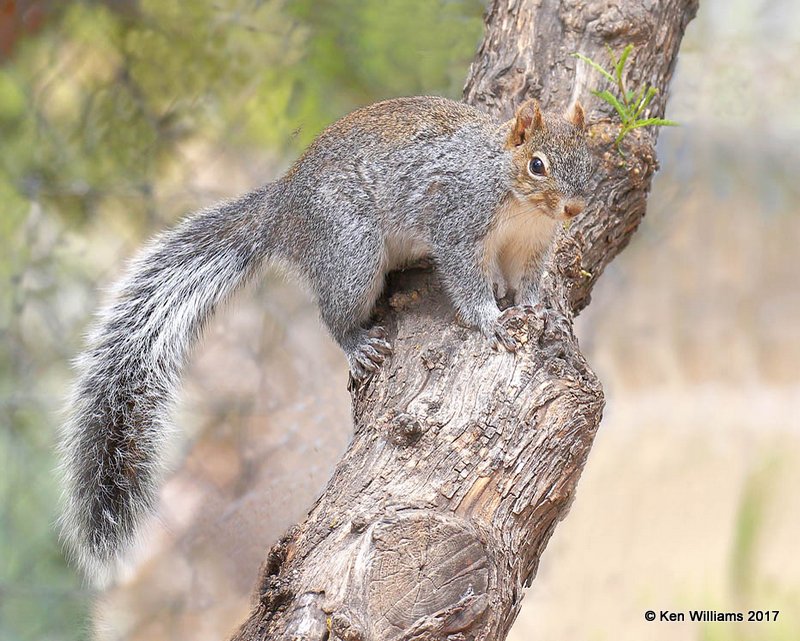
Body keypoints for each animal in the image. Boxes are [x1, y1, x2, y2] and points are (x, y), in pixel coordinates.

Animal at [57, 95, 592, 580]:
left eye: (591, 160)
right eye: (538, 165)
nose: (574, 207)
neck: (518, 202)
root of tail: (284, 206)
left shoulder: (530, 248)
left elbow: (528, 285)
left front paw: (538, 313)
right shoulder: (458, 222)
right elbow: (465, 280)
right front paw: (492, 320)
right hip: (351, 250)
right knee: (335, 314)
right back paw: (357, 344)